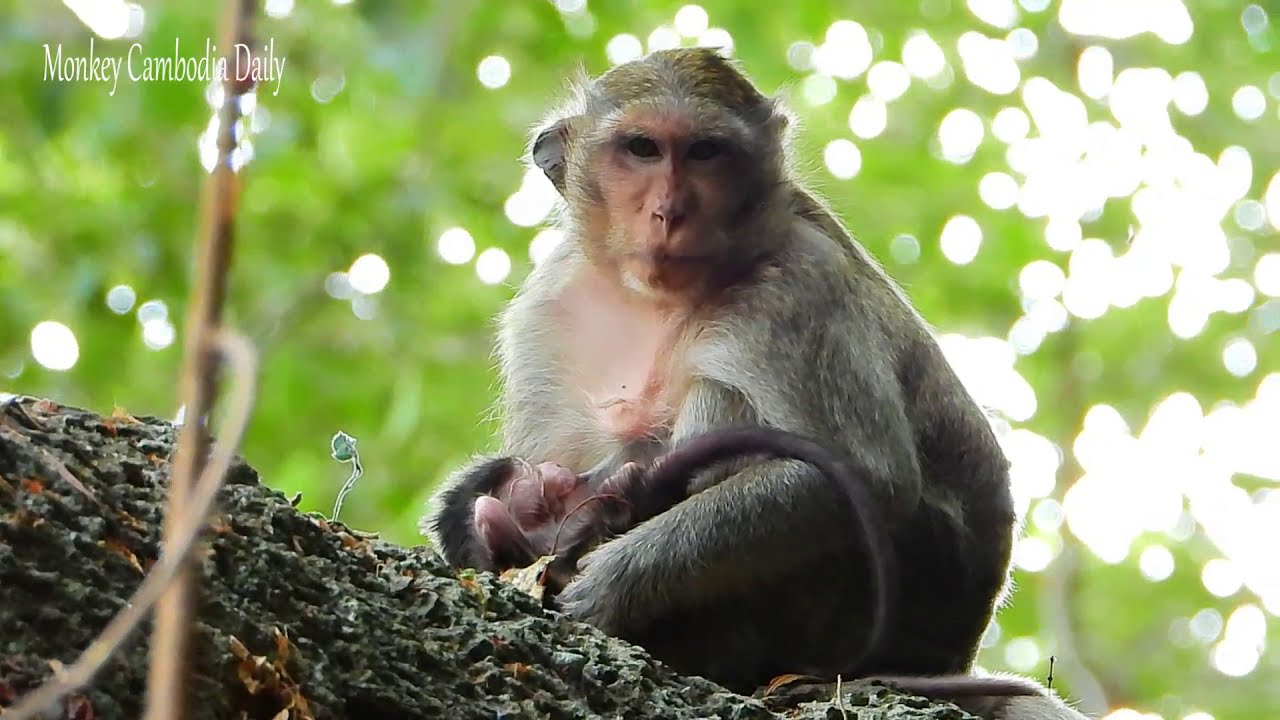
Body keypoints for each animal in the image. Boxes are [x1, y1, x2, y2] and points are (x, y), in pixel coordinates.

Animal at [422, 46, 1085, 719]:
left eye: (705, 152)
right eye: (642, 148)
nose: (670, 212)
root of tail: (953, 654)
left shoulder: (795, 290)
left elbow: (869, 478)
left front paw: (610, 578)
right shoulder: (546, 307)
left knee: (721, 396)